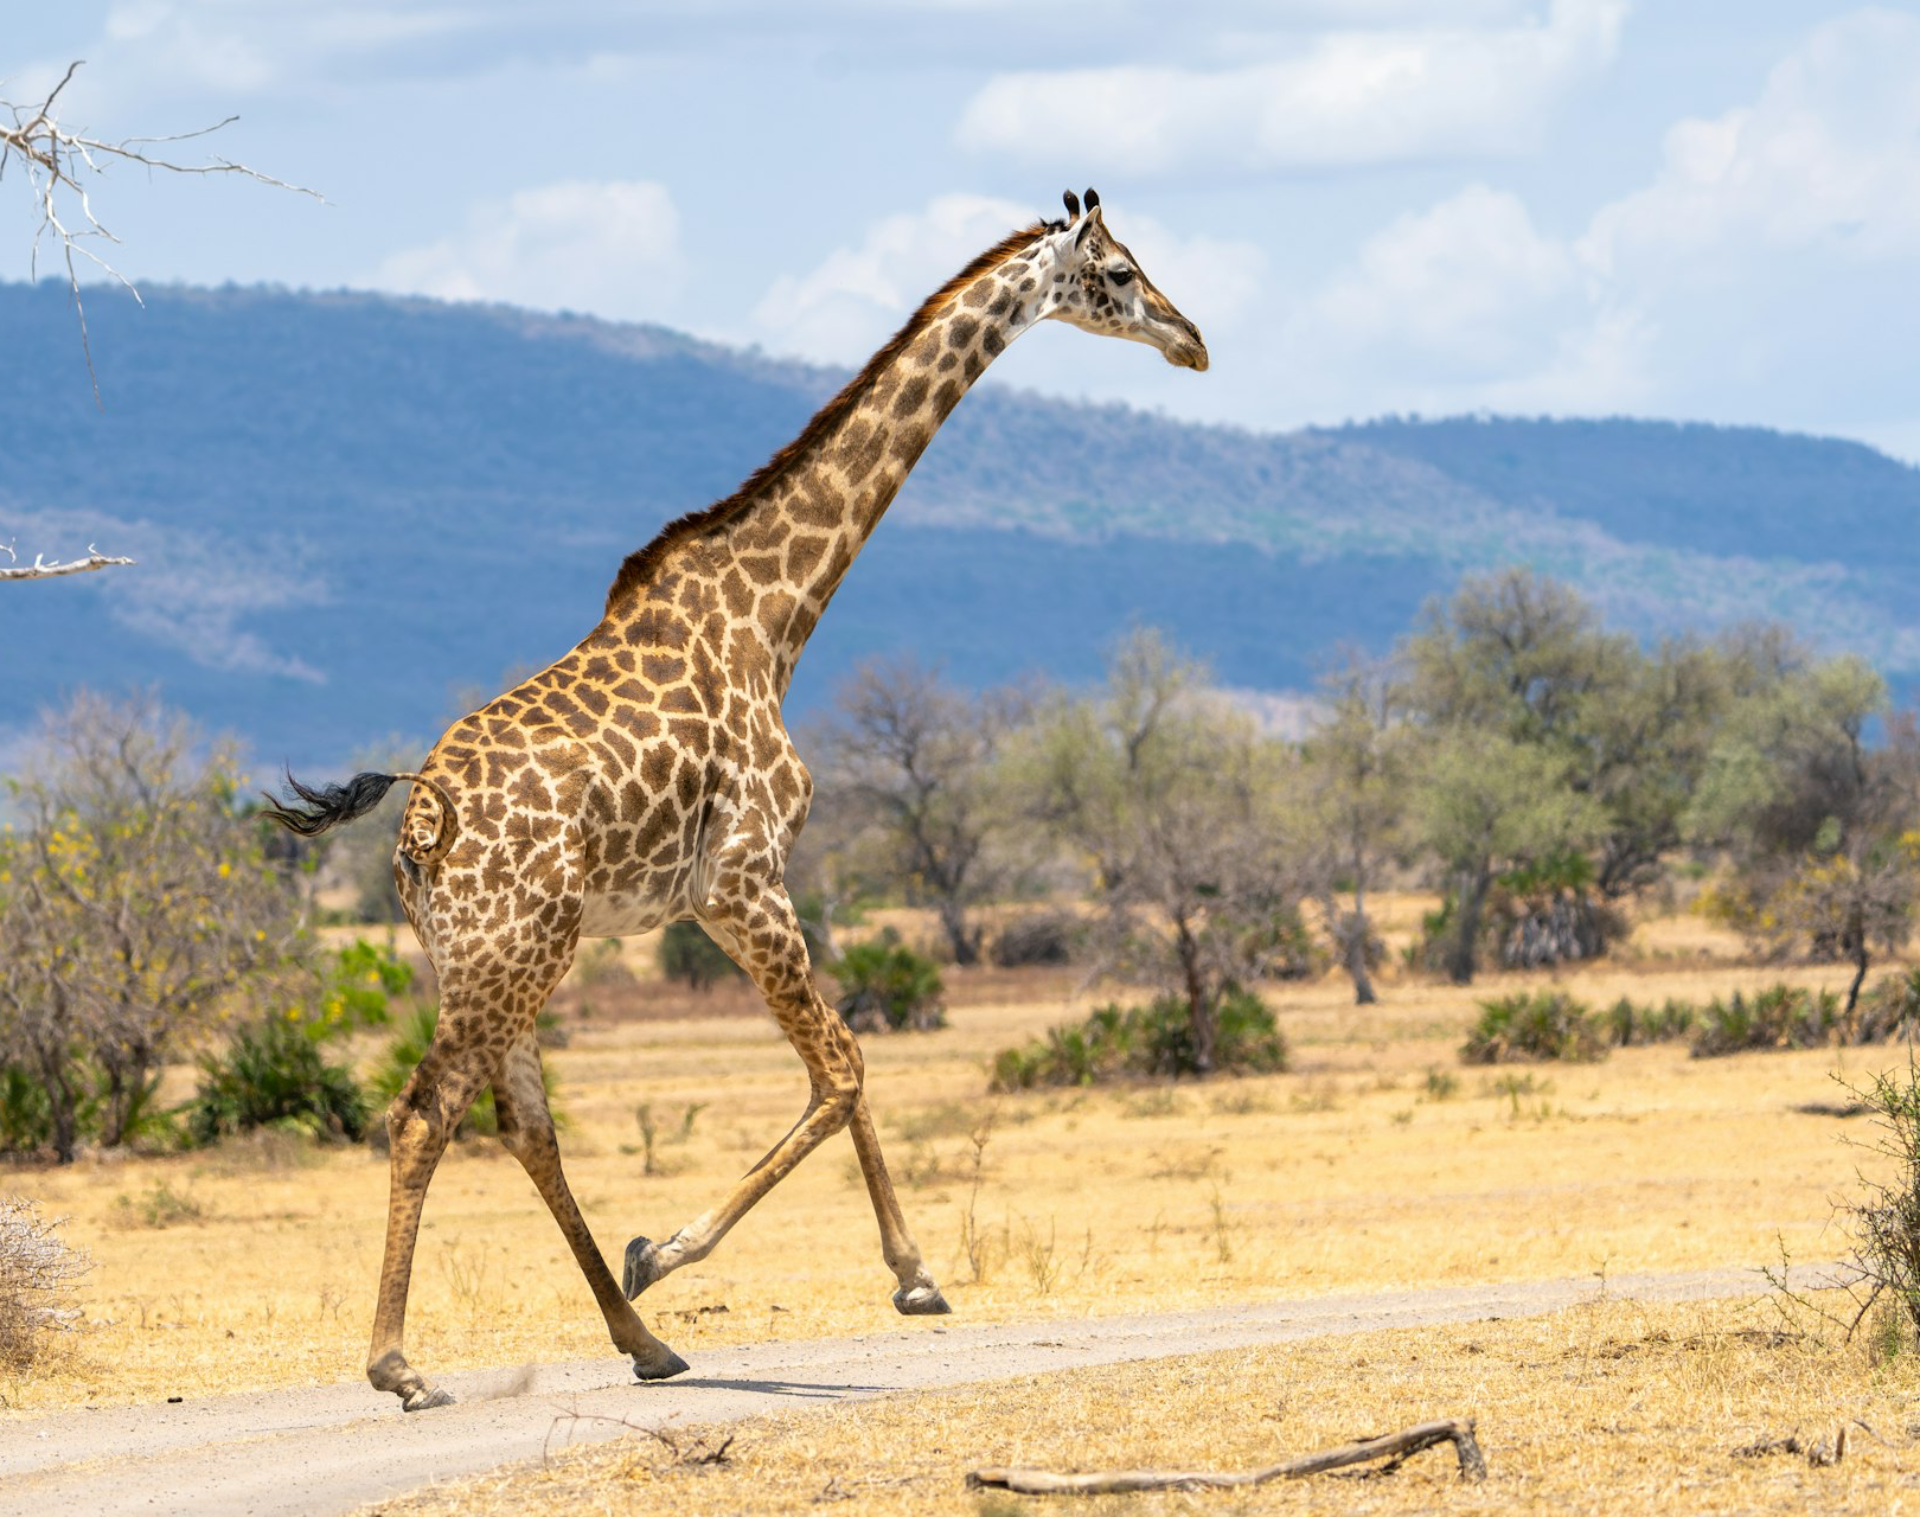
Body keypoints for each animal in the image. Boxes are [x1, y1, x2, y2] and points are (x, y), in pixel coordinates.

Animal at [266, 188, 1208, 1412]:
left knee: (523, 1121)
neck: (776, 615)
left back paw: (644, 1342)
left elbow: (840, 1065)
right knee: (429, 1111)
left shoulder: (719, 896)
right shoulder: (744, 879)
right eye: (1124, 271)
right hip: (512, 950)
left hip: (492, 954)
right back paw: (403, 1364)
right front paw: (701, 1253)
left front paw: (895, 1273)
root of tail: (421, 819)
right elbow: (843, 1064)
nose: (1194, 341)